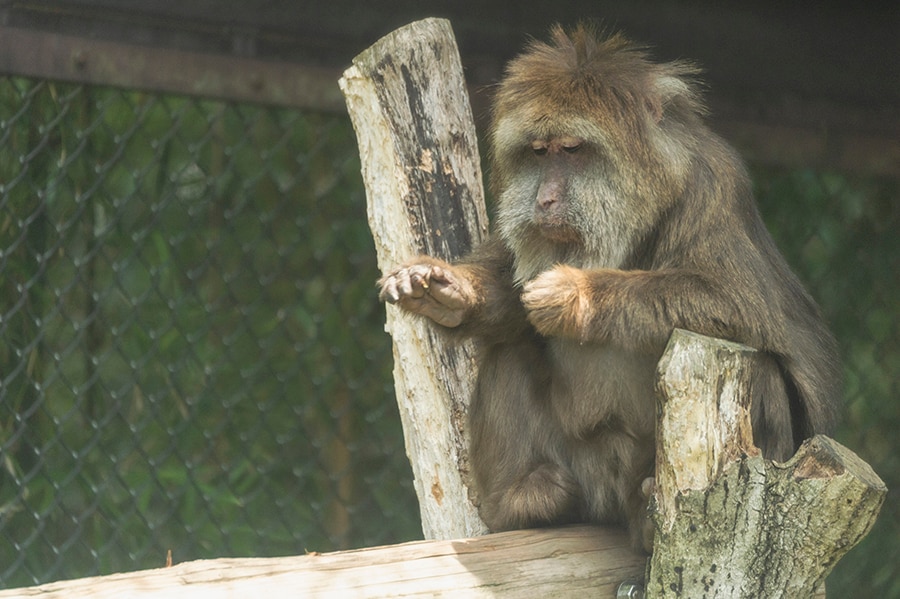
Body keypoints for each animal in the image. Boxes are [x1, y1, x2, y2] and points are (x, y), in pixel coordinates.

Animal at [376, 25, 840, 552]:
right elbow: (511, 298)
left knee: (760, 367)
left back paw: (648, 513)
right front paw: (448, 293)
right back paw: (525, 502)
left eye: (573, 149)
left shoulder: (712, 188)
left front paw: (576, 296)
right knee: (510, 348)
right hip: (582, 467)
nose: (544, 198)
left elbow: (739, 304)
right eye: (539, 152)